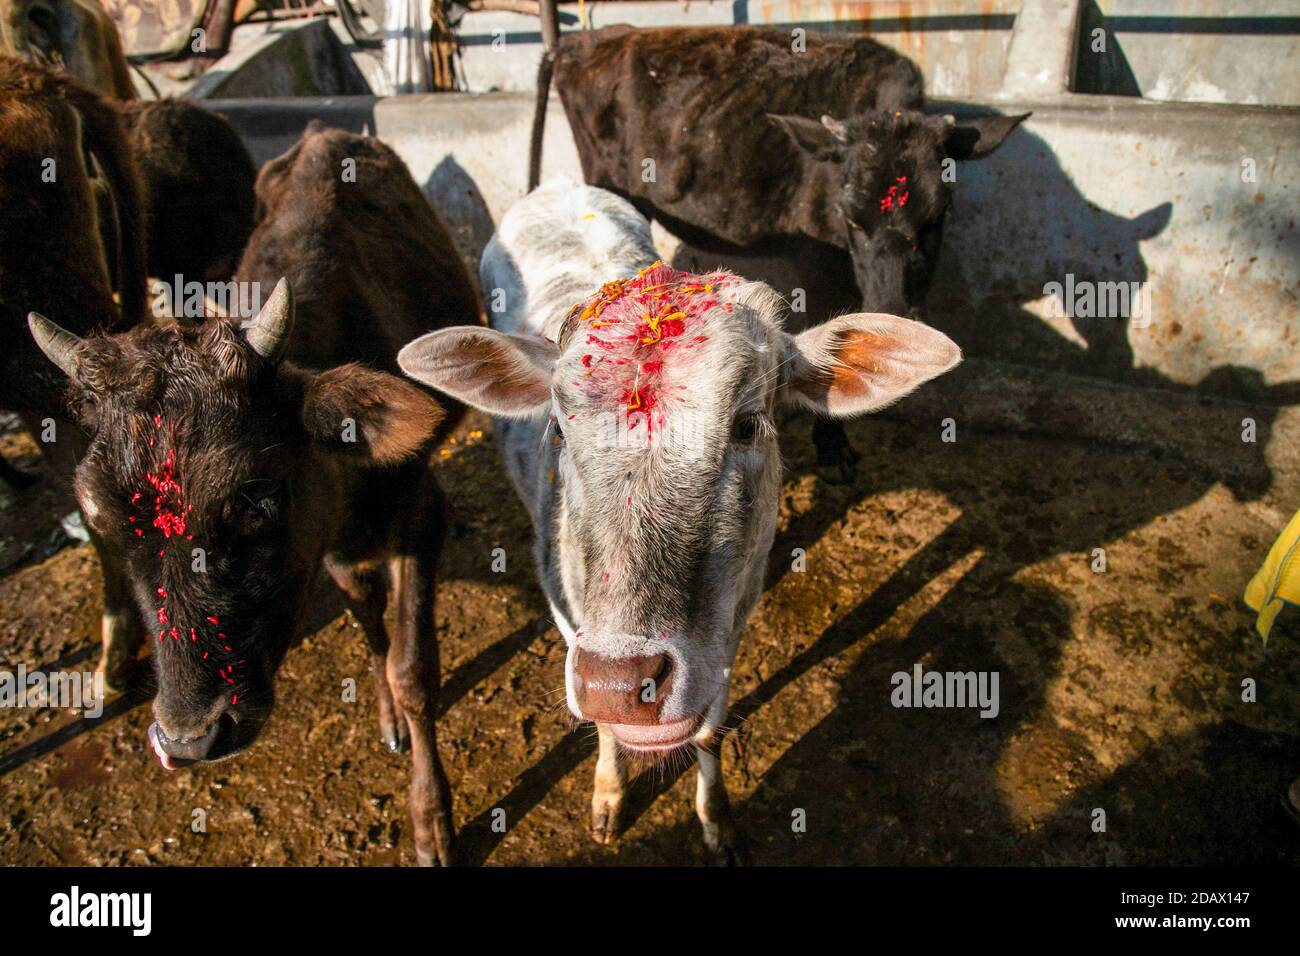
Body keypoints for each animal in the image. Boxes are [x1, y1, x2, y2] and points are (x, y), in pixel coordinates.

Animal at [26, 123, 483, 863]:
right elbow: (370, 625)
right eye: (106, 522)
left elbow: (413, 670)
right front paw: (387, 718)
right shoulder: (333, 550)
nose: (188, 739)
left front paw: (431, 820)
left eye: (254, 502)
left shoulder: (419, 514)